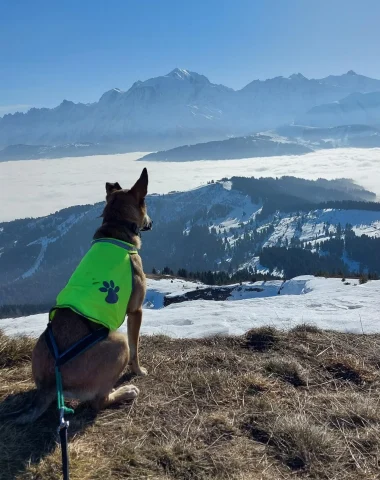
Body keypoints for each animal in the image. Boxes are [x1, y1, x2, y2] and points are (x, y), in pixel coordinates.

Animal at [16, 167, 152, 422]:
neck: (116, 226)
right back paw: (126, 392)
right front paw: (139, 371)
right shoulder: (136, 311)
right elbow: (136, 349)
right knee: (98, 402)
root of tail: (50, 383)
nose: (151, 222)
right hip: (118, 342)